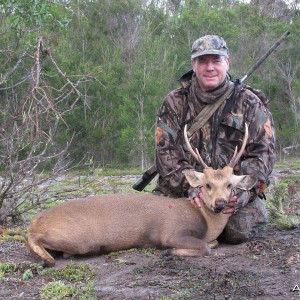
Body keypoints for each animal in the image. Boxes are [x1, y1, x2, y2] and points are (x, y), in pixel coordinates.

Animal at [26, 123, 255, 266]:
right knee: (35, 238)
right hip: (81, 238)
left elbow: (212, 244)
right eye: (207, 185)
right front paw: (169, 252)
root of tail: (35, 221)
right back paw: (47, 259)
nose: (220, 203)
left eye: (229, 185)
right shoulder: (173, 232)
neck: (206, 221)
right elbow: (206, 247)